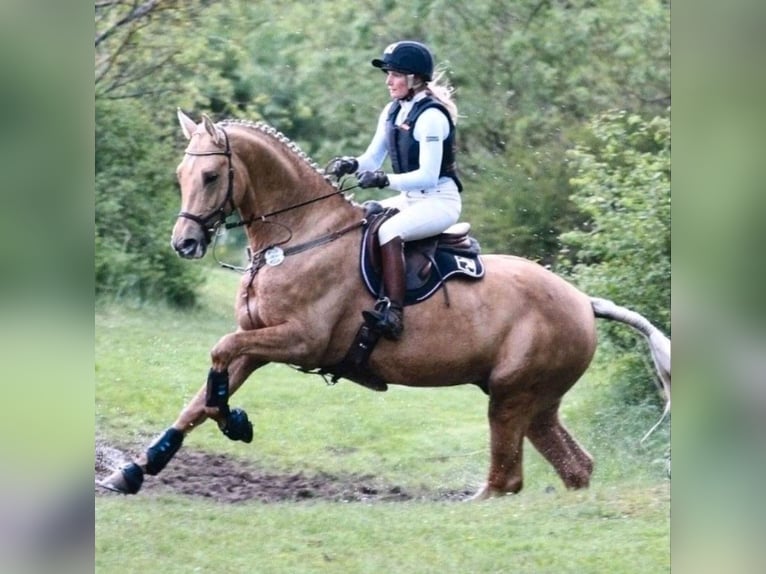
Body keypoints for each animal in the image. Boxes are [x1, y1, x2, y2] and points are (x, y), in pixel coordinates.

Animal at [97, 111, 672, 500]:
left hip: (511, 396)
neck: (299, 237)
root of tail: (583, 301)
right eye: (180, 176)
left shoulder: (299, 340)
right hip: (534, 400)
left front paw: (235, 422)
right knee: (574, 467)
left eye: (212, 177)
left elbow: (218, 353)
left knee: (506, 477)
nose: (185, 244)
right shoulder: (258, 345)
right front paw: (134, 470)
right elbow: (201, 398)